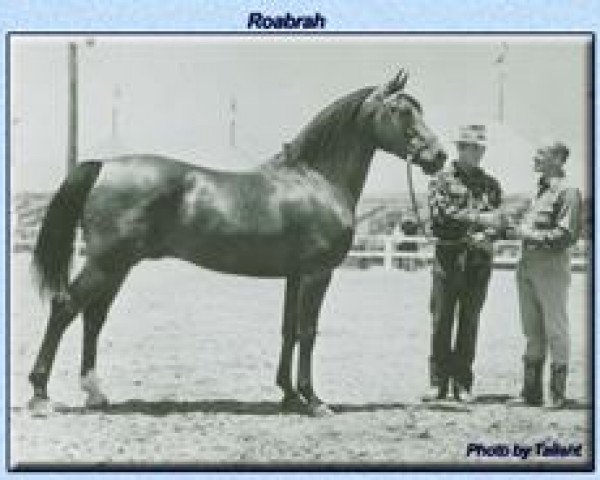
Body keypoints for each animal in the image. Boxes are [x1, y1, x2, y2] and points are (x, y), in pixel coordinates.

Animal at [28, 68, 448, 416]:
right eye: (401, 111)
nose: (439, 156)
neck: (316, 180)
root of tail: (103, 166)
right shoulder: (316, 274)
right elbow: (308, 332)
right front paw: (313, 400)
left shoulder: (294, 276)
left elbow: (288, 330)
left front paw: (288, 396)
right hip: (106, 264)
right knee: (65, 307)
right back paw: (41, 396)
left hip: (117, 266)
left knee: (93, 317)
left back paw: (95, 393)